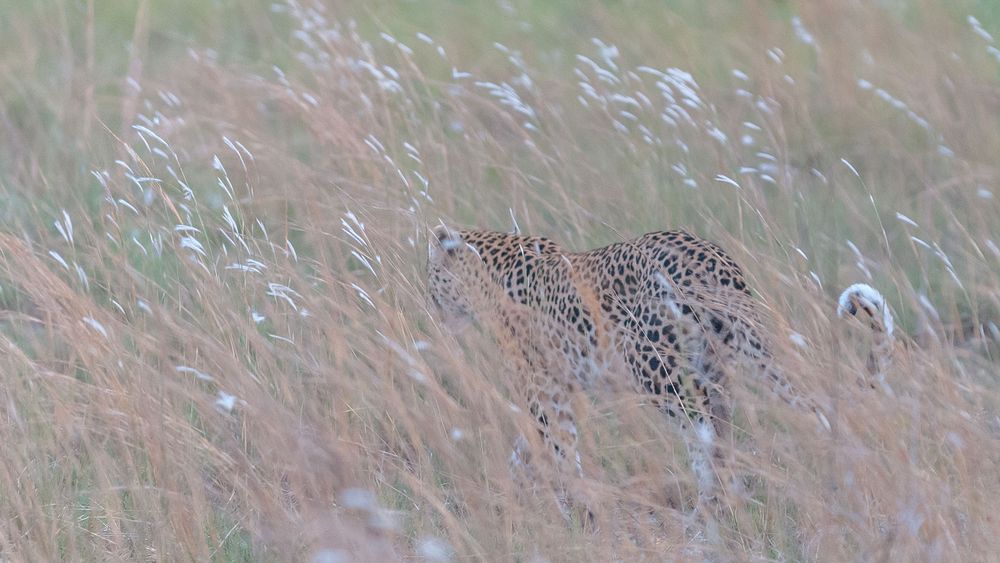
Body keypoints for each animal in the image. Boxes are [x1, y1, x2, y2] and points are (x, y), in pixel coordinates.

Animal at [426, 224, 896, 520]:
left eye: (431, 281)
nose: (431, 310)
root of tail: (716, 262)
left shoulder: (543, 385)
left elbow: (555, 447)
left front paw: (566, 505)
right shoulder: (559, 386)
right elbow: (530, 448)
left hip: (657, 372)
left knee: (703, 437)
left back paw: (706, 512)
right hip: (717, 372)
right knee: (752, 432)